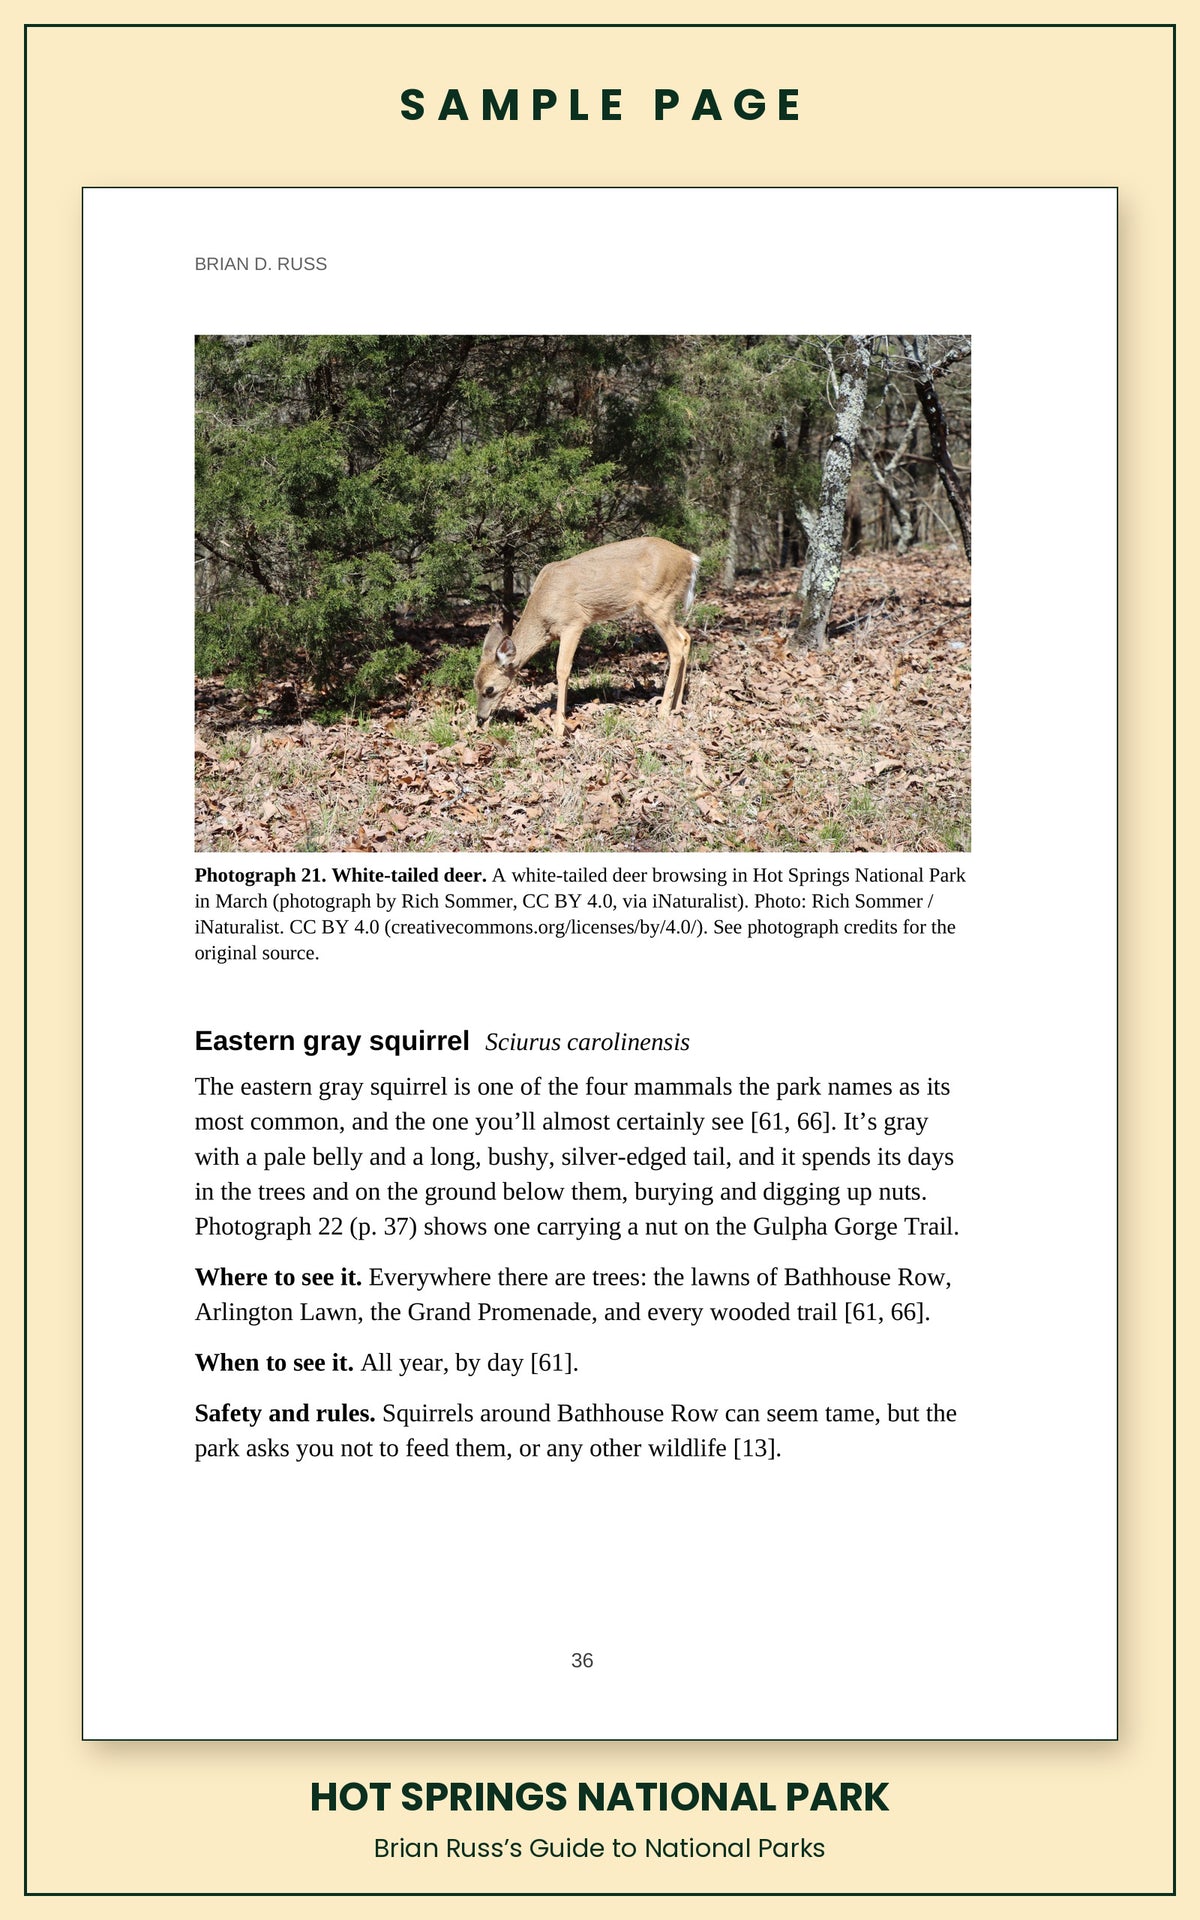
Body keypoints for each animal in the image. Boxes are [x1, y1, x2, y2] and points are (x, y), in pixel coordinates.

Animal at [473, 537, 701, 739]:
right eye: (475, 684)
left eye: (489, 689)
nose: (480, 718)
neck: (543, 610)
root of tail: (690, 558)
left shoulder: (573, 623)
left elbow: (562, 670)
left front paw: (558, 729)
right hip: (663, 607)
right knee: (685, 636)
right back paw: (677, 705)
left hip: (658, 602)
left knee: (676, 645)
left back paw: (663, 711)